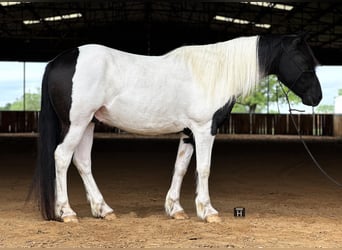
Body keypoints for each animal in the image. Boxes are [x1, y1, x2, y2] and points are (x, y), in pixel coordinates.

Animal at [30, 33, 322, 223]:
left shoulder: (188, 133)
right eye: (304, 61)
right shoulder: (204, 130)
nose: (316, 98)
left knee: (82, 162)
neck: (214, 73)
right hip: (75, 123)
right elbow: (203, 169)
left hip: (88, 123)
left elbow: (180, 167)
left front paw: (176, 209)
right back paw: (67, 213)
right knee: (61, 157)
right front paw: (208, 211)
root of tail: (58, 60)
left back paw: (104, 210)